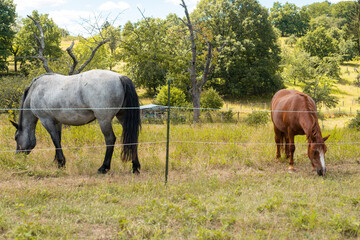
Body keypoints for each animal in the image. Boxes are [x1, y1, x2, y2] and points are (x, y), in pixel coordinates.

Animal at [9, 69, 142, 174]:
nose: (17, 157)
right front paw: (57, 161)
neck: (36, 90)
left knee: (110, 140)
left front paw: (61, 163)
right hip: (122, 117)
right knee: (133, 139)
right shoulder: (57, 122)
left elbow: (55, 139)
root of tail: (120, 77)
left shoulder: (46, 121)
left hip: (104, 120)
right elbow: (58, 140)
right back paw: (135, 167)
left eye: (16, 137)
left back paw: (103, 168)